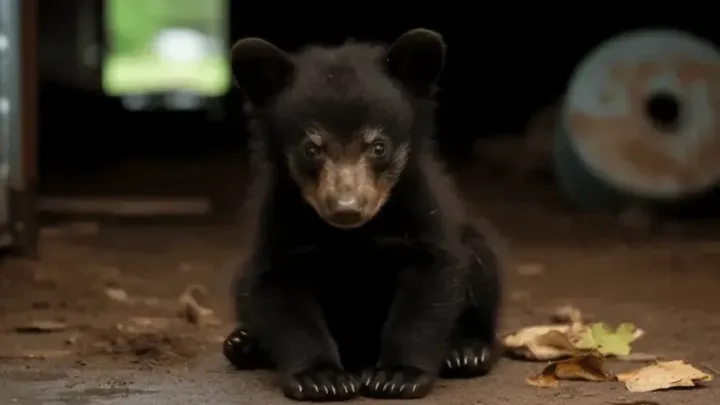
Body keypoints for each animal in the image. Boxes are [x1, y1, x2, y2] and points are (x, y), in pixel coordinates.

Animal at [223, 28, 503, 401]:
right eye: (312, 149)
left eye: (378, 147)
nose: (347, 209)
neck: (354, 235)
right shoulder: (280, 221)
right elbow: (280, 293)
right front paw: (320, 378)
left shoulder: (421, 212)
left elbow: (430, 282)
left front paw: (398, 375)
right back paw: (243, 344)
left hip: (477, 247)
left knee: (483, 267)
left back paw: (466, 351)